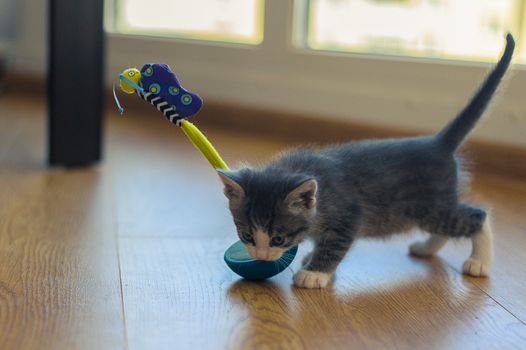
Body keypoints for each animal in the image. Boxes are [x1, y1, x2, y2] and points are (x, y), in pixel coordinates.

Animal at [218, 34, 516, 288]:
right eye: (247, 235)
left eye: (278, 238)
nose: (261, 255)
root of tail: (438, 143)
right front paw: (313, 260)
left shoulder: (349, 216)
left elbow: (334, 246)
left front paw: (315, 273)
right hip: (432, 209)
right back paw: (426, 248)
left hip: (431, 208)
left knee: (477, 217)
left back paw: (478, 262)